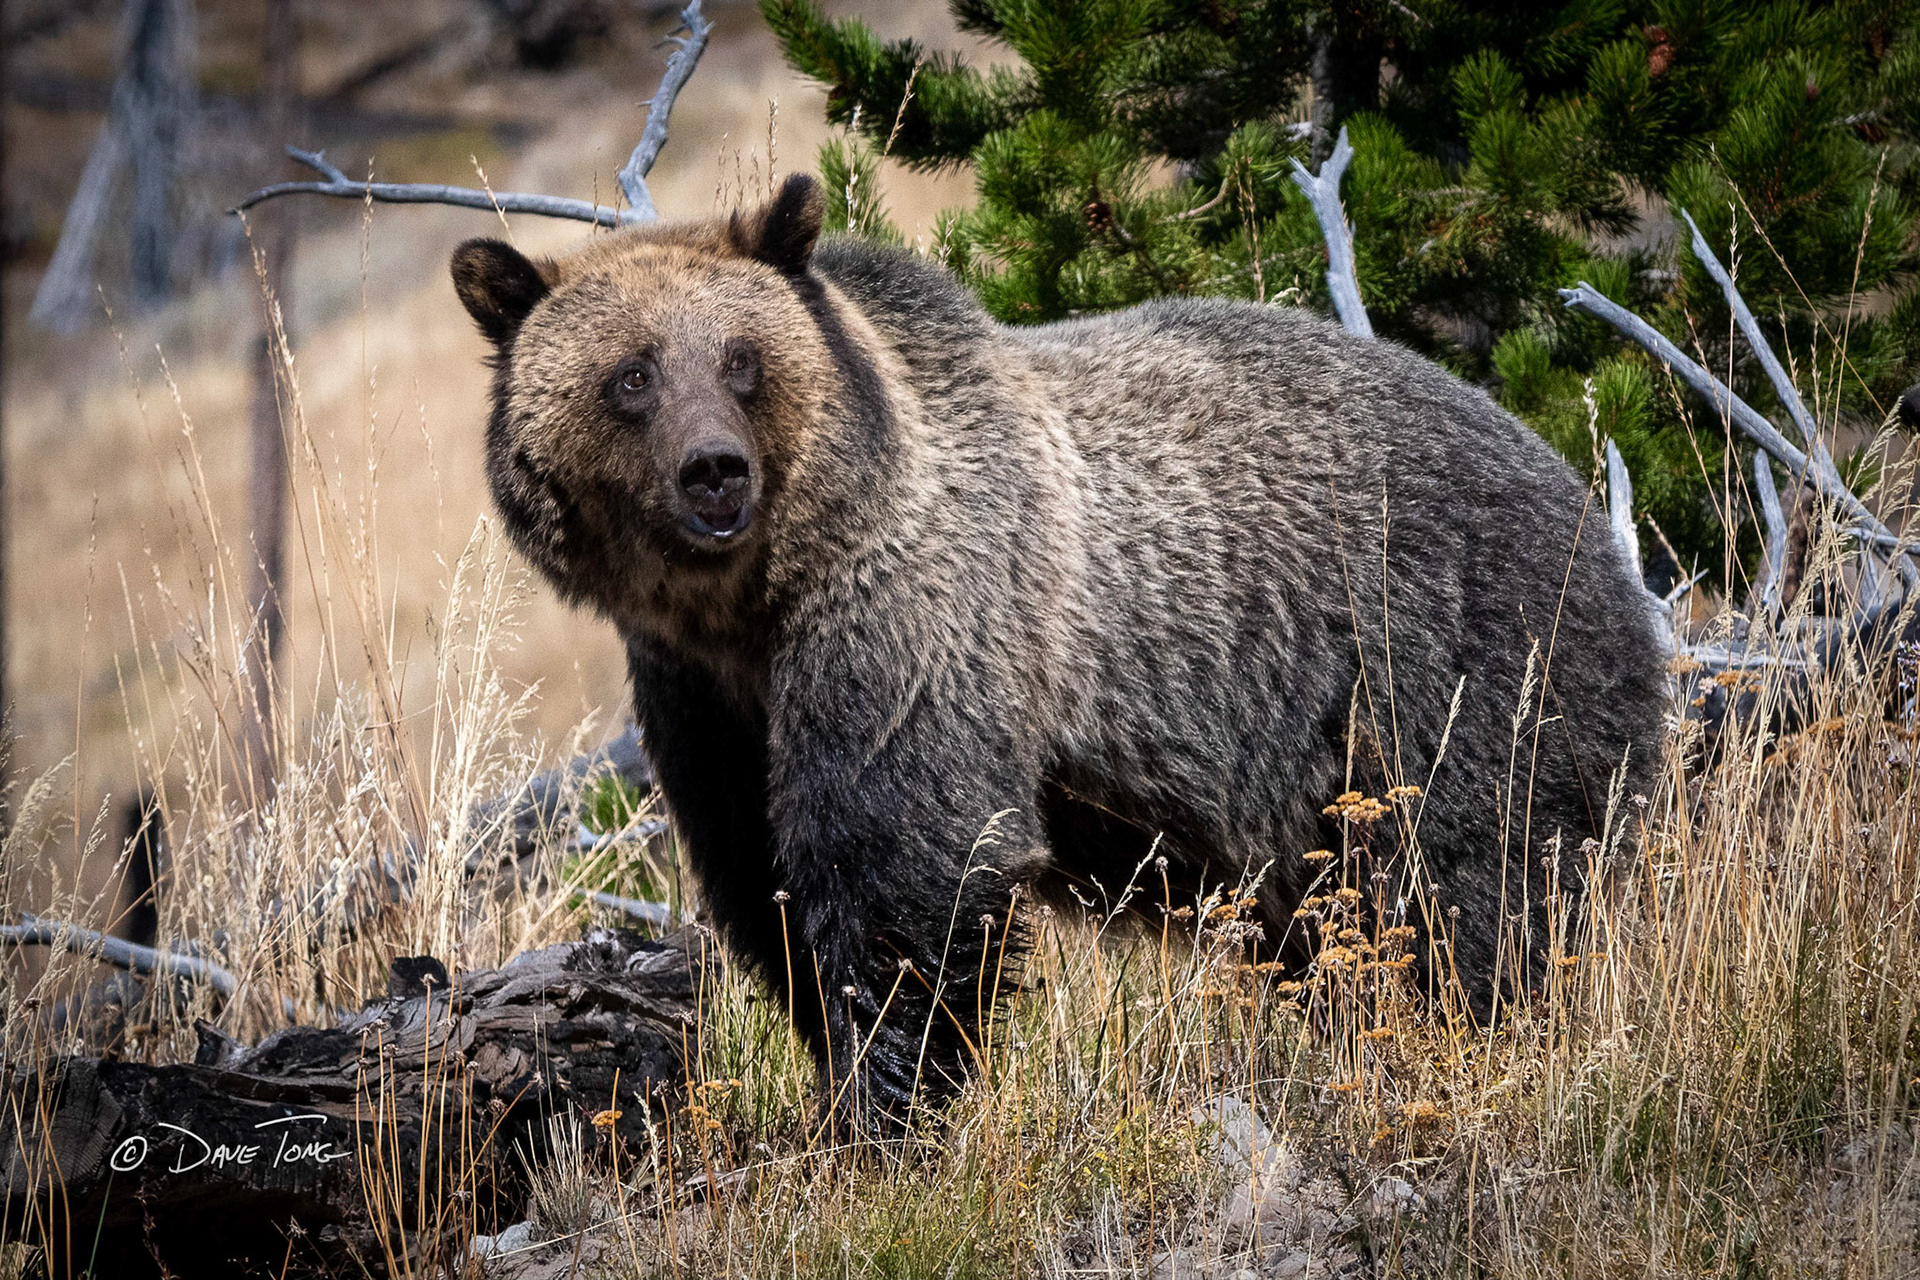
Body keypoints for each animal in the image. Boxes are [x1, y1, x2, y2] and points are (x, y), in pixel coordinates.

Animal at [451, 173, 1669, 1129]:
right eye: (632, 374)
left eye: (743, 358)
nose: (715, 471)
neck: (756, 601)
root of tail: (1584, 505)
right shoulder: (700, 699)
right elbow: (765, 880)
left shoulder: (912, 621)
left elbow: (906, 867)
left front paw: (884, 1105)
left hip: (1452, 666)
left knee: (1478, 881)